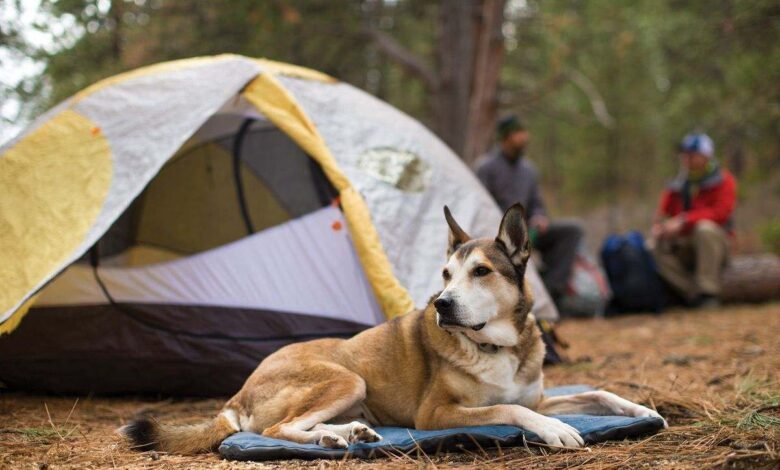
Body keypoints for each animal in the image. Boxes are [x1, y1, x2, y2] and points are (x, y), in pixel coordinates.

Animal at [122, 204, 664, 454]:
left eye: (480, 272)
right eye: (445, 274)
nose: (442, 304)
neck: (496, 346)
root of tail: (238, 393)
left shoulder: (539, 394)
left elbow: (594, 392)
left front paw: (643, 409)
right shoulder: (435, 413)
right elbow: (510, 409)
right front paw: (556, 431)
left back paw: (349, 432)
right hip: (346, 377)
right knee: (277, 429)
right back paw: (333, 438)